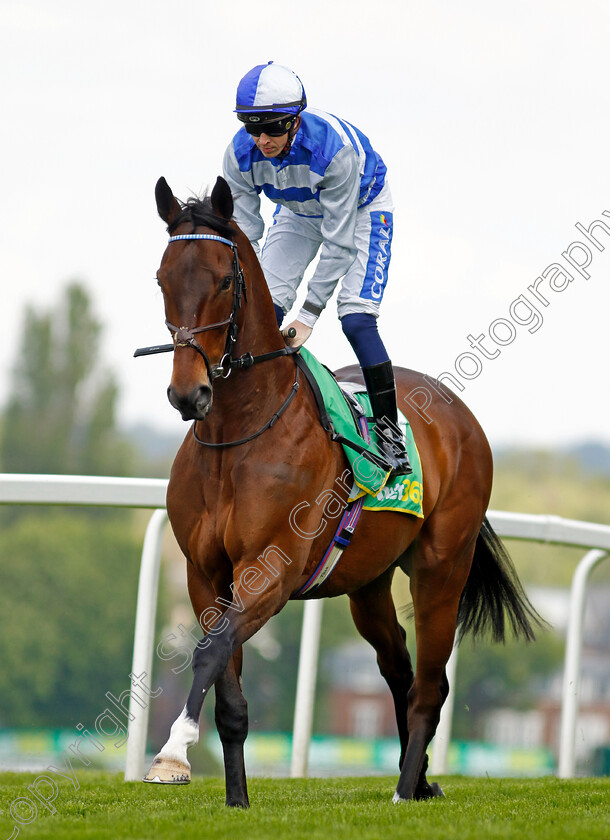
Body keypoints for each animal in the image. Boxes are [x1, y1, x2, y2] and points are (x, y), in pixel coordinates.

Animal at [145, 177, 540, 808]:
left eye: (225, 280)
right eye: (162, 278)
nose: (189, 393)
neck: (238, 435)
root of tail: (459, 415)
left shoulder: (273, 571)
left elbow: (208, 652)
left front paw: (172, 754)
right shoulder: (205, 573)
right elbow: (226, 683)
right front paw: (236, 799)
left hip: (441, 568)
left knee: (430, 684)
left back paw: (405, 788)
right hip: (368, 583)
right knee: (400, 666)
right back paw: (418, 779)